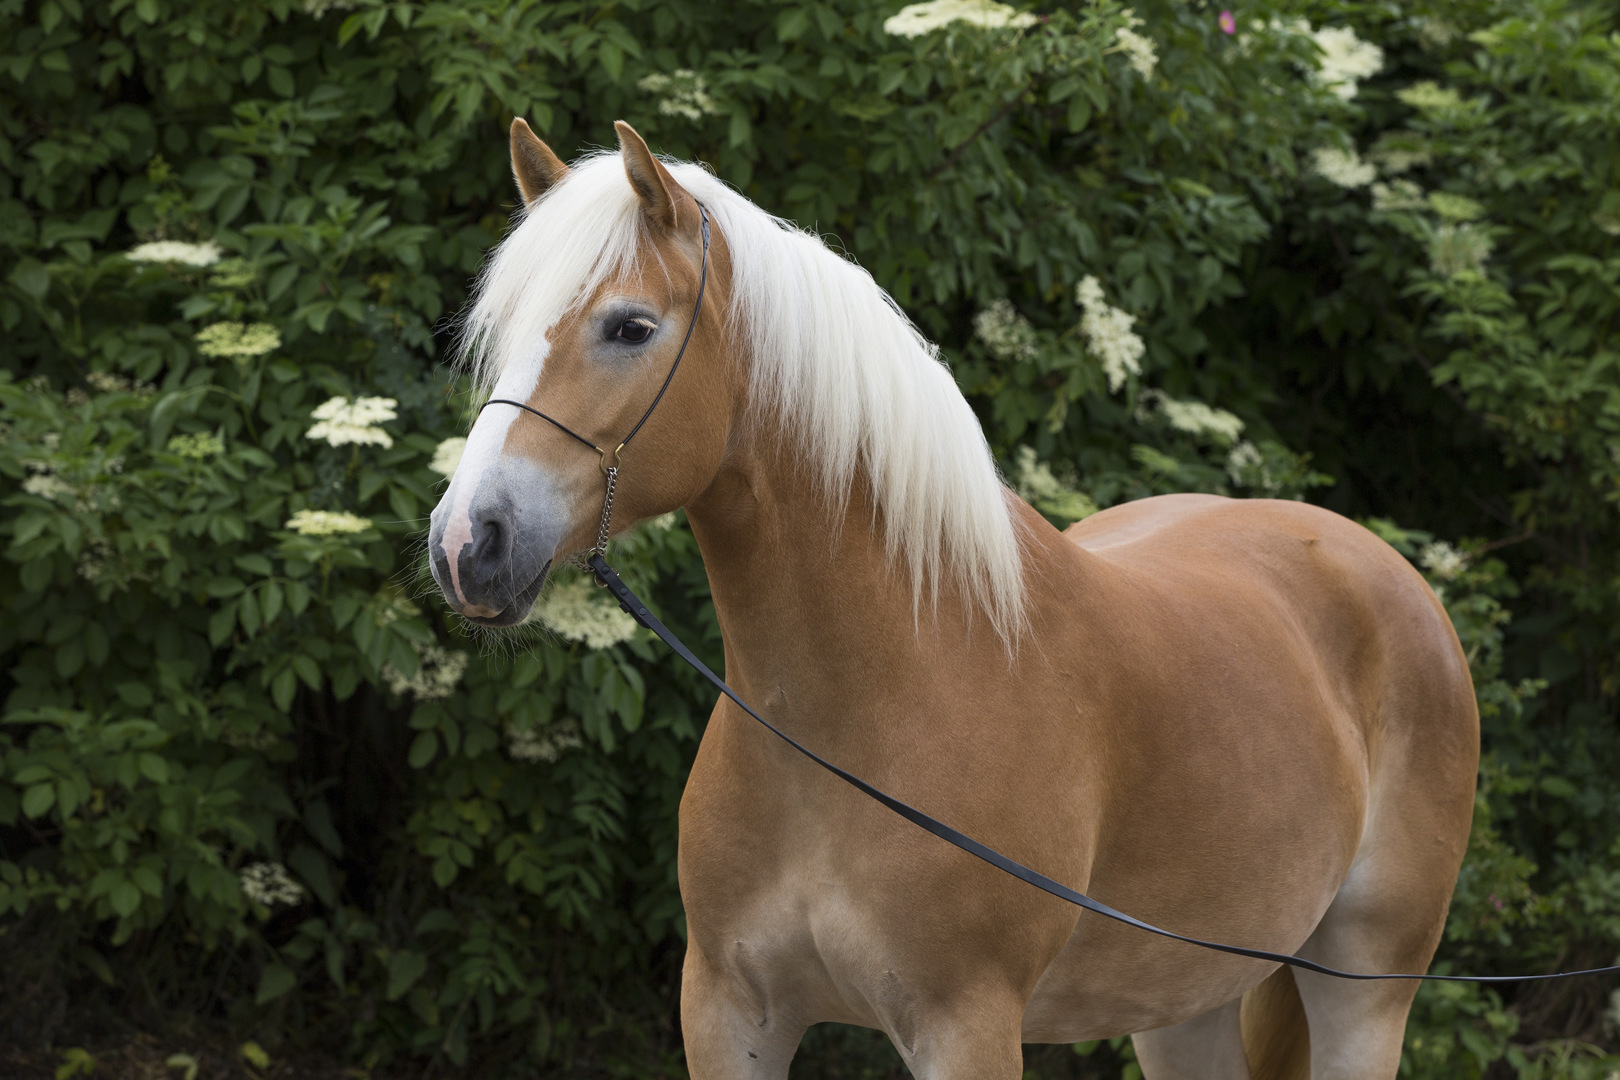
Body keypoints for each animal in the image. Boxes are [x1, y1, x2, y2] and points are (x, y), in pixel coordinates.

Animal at [427, 119, 1479, 1080]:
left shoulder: (964, 1026)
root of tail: (1377, 567)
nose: (467, 544)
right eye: (502, 331)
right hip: (1183, 1002)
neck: (885, 690)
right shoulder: (729, 1014)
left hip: (1365, 990)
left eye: (631, 327)